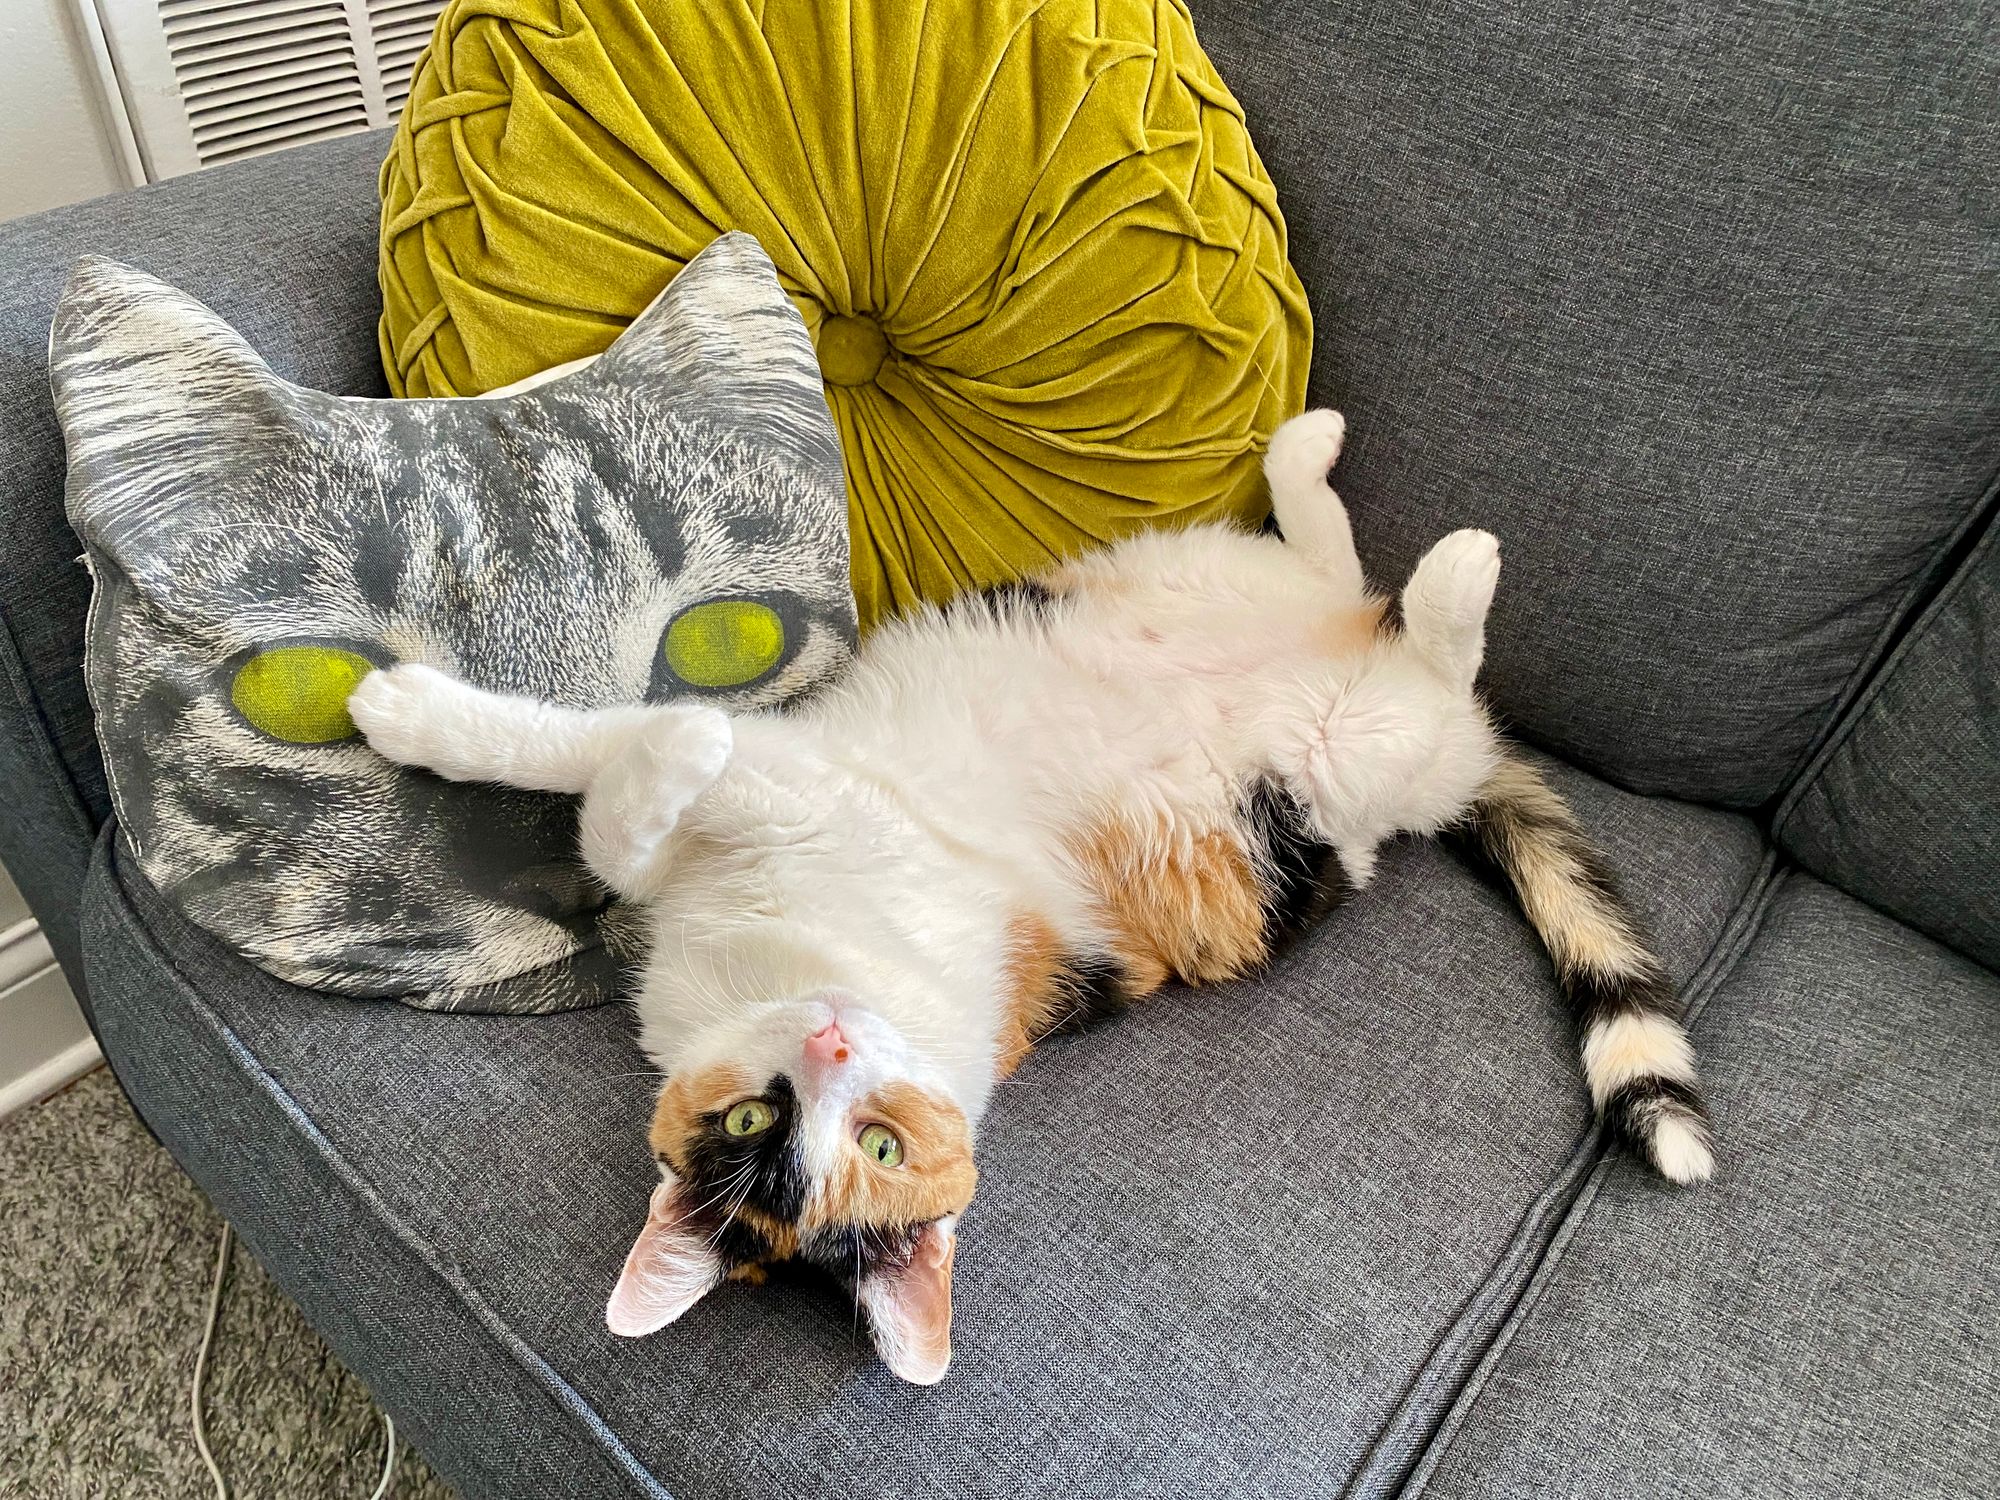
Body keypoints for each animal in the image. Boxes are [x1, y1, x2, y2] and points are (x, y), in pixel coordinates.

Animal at [348, 408, 1720, 1384]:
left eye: (877, 1143)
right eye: (755, 1126)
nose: (828, 1043)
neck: (767, 962)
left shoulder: (792, 792)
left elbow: (596, 765)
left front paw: (418, 714)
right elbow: (611, 801)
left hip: (1299, 701)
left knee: (1406, 630)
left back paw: (1421, 541)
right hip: (1260, 671)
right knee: (1362, 600)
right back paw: (1346, 481)